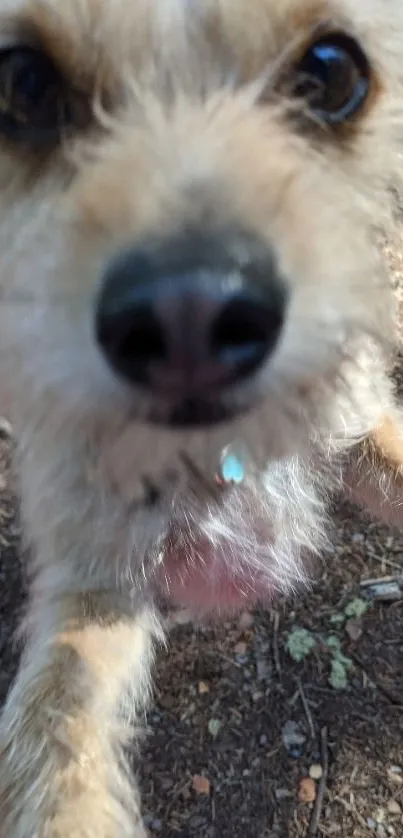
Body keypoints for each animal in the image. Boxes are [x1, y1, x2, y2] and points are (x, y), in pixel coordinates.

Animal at [0, 0, 403, 836]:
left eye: (332, 73)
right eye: (21, 83)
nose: (189, 316)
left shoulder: (356, 430)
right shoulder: (93, 584)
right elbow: (54, 733)